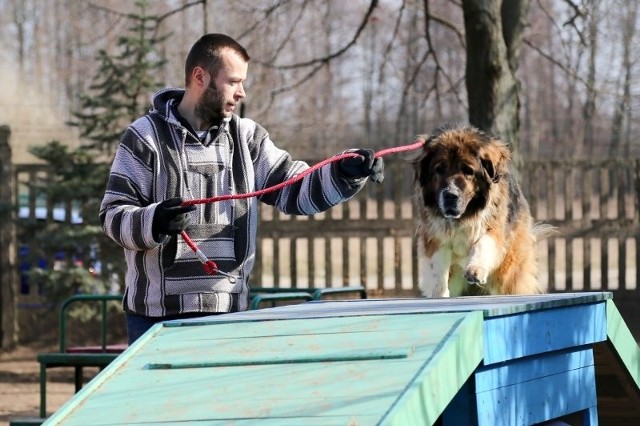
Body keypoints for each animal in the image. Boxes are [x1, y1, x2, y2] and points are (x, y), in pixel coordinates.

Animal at [412, 123, 552, 296]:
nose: (450, 195)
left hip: (508, 270)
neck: (465, 215)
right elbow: (437, 268)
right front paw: (439, 292)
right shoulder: (434, 236)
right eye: (439, 169)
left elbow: (483, 243)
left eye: (468, 171)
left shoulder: (494, 224)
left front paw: (475, 270)